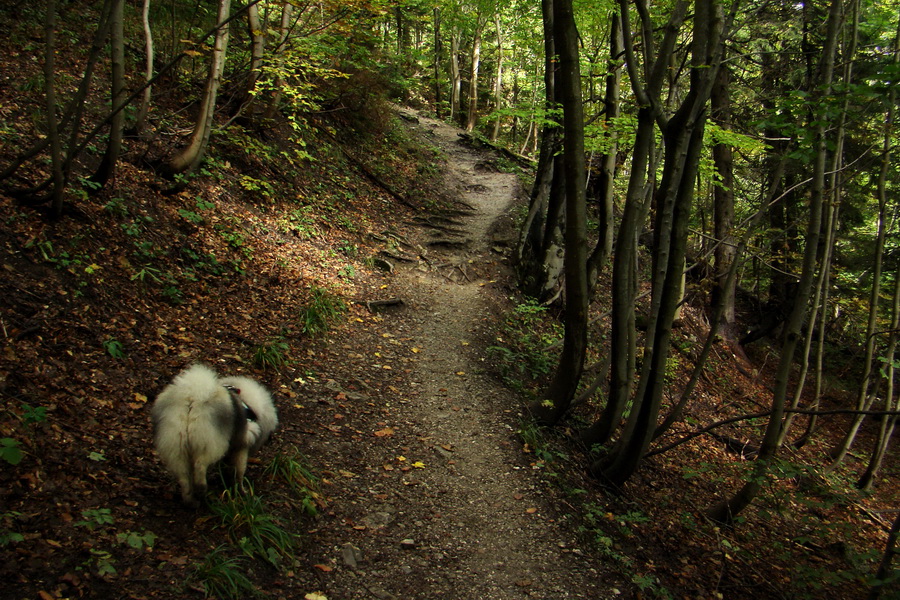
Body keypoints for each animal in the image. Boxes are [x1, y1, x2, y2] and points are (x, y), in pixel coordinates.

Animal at [151, 364, 280, 504]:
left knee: (184, 478)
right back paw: (202, 488)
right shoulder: (242, 447)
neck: (247, 404)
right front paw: (242, 491)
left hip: (177, 445)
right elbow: (239, 472)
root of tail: (192, 398)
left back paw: (190, 500)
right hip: (211, 442)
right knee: (200, 465)